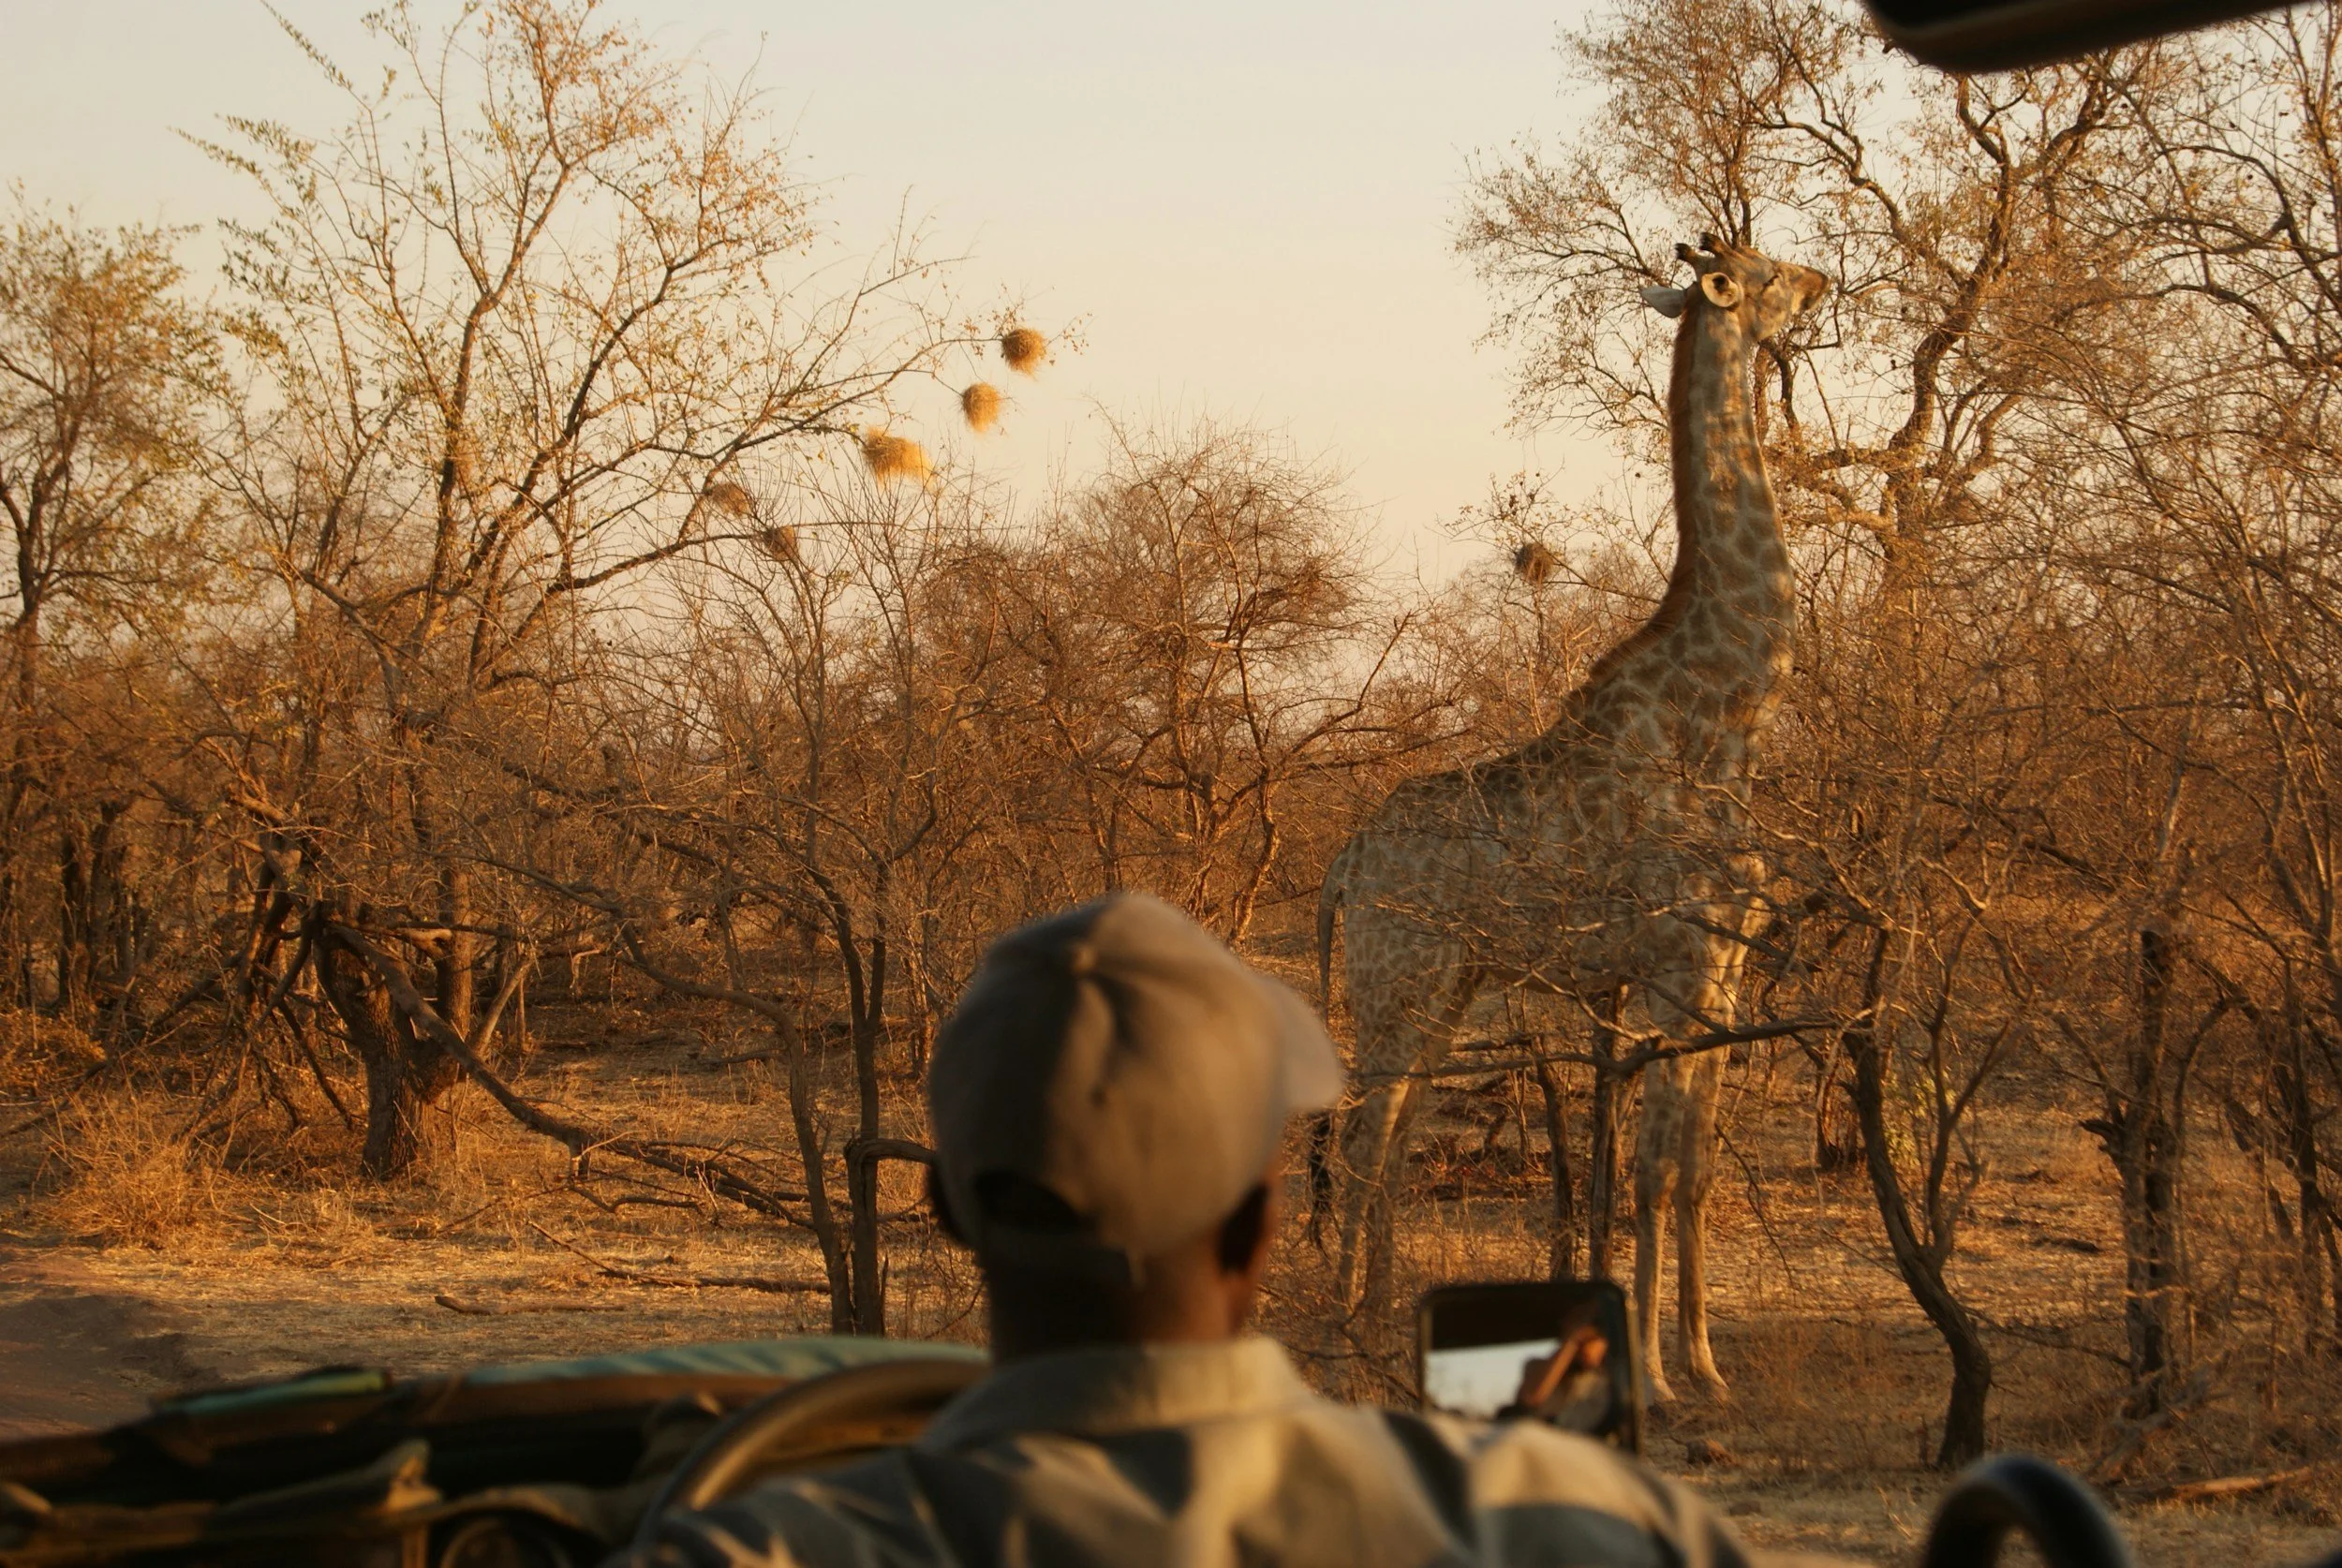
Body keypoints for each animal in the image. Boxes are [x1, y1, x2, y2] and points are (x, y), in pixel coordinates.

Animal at [1317, 235, 1828, 1402]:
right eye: (1765, 271)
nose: (1823, 281)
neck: (1725, 714)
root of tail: (1344, 860)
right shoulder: (1674, 967)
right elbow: (1648, 1172)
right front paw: (1655, 1373)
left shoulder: (1720, 972)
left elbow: (1689, 1169)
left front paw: (1703, 1362)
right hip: (1399, 981)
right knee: (1364, 1141)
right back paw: (1349, 1333)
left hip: (1448, 989)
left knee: (1393, 1139)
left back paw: (1383, 1320)